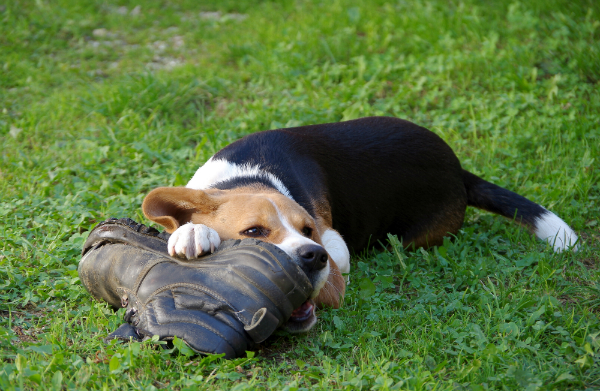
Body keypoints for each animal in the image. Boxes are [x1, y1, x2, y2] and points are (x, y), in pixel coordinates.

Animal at [141, 117, 576, 334]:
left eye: (308, 231)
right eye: (253, 233)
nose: (312, 257)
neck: (249, 177)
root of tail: (459, 171)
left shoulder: (335, 242)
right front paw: (192, 232)